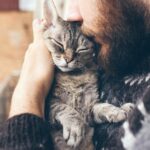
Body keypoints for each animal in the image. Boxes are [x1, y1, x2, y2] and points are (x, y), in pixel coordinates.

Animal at [42, 0, 134, 149]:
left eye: (81, 49)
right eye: (59, 44)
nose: (68, 59)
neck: (74, 77)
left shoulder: (89, 109)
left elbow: (102, 106)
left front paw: (117, 110)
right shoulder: (49, 105)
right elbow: (66, 109)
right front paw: (75, 127)